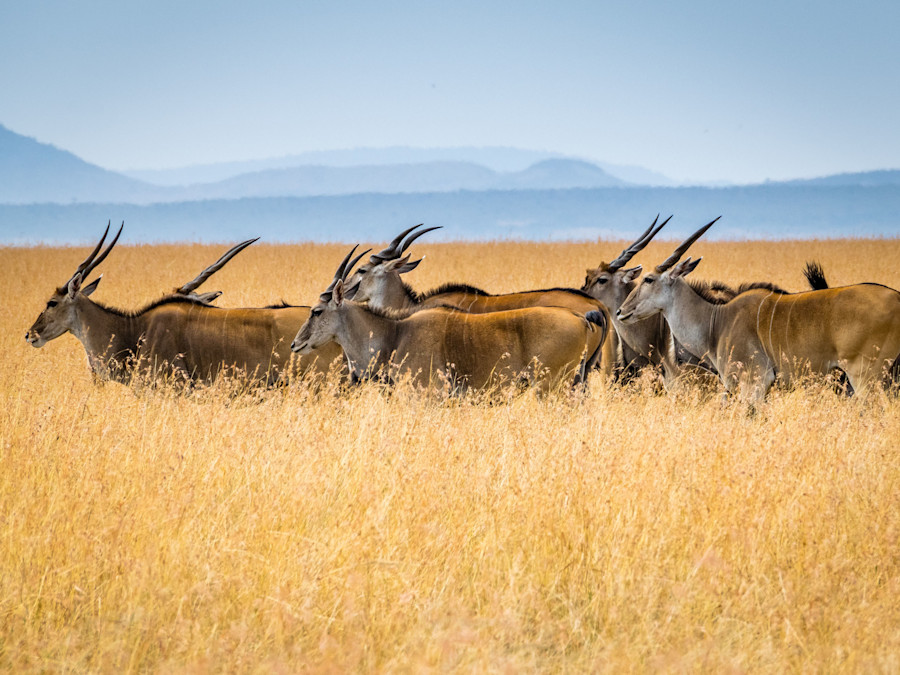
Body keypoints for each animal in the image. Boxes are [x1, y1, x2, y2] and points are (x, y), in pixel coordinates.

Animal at [617, 220, 900, 404]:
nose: (621, 312)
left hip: (866, 377)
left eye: (648, 279)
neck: (716, 322)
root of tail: (897, 298)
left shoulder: (754, 382)